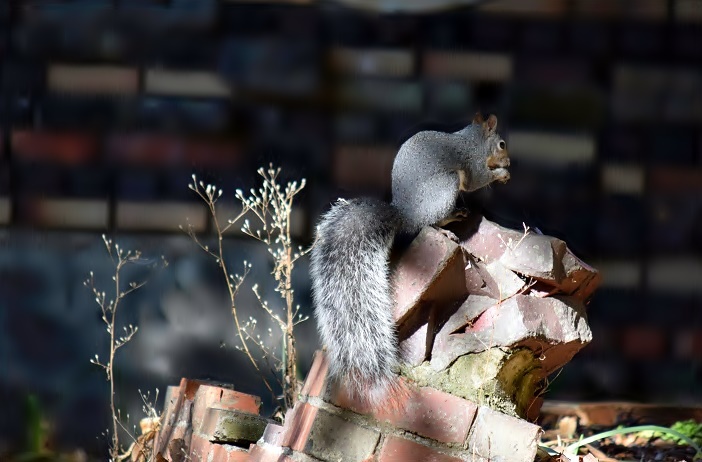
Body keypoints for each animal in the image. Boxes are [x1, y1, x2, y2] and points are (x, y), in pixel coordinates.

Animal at [310, 113, 508, 410]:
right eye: (502, 144)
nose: (509, 162)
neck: (472, 138)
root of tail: (406, 214)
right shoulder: (473, 163)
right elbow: (477, 180)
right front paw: (501, 174)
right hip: (445, 188)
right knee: (430, 222)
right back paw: (449, 224)